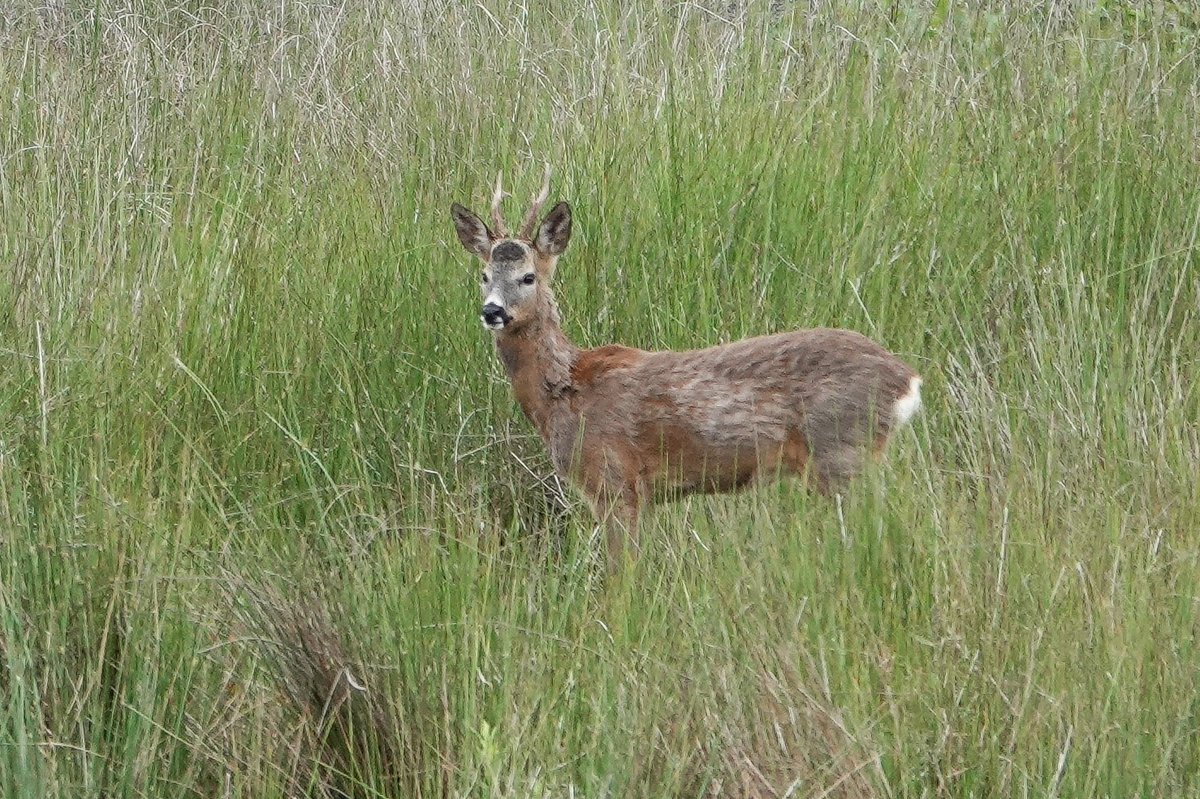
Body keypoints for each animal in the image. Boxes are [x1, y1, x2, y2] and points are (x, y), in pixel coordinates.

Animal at [451, 168, 922, 570]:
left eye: (528, 277)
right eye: (484, 274)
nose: (492, 311)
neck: (564, 391)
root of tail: (907, 379)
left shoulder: (615, 481)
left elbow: (621, 575)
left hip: (842, 453)